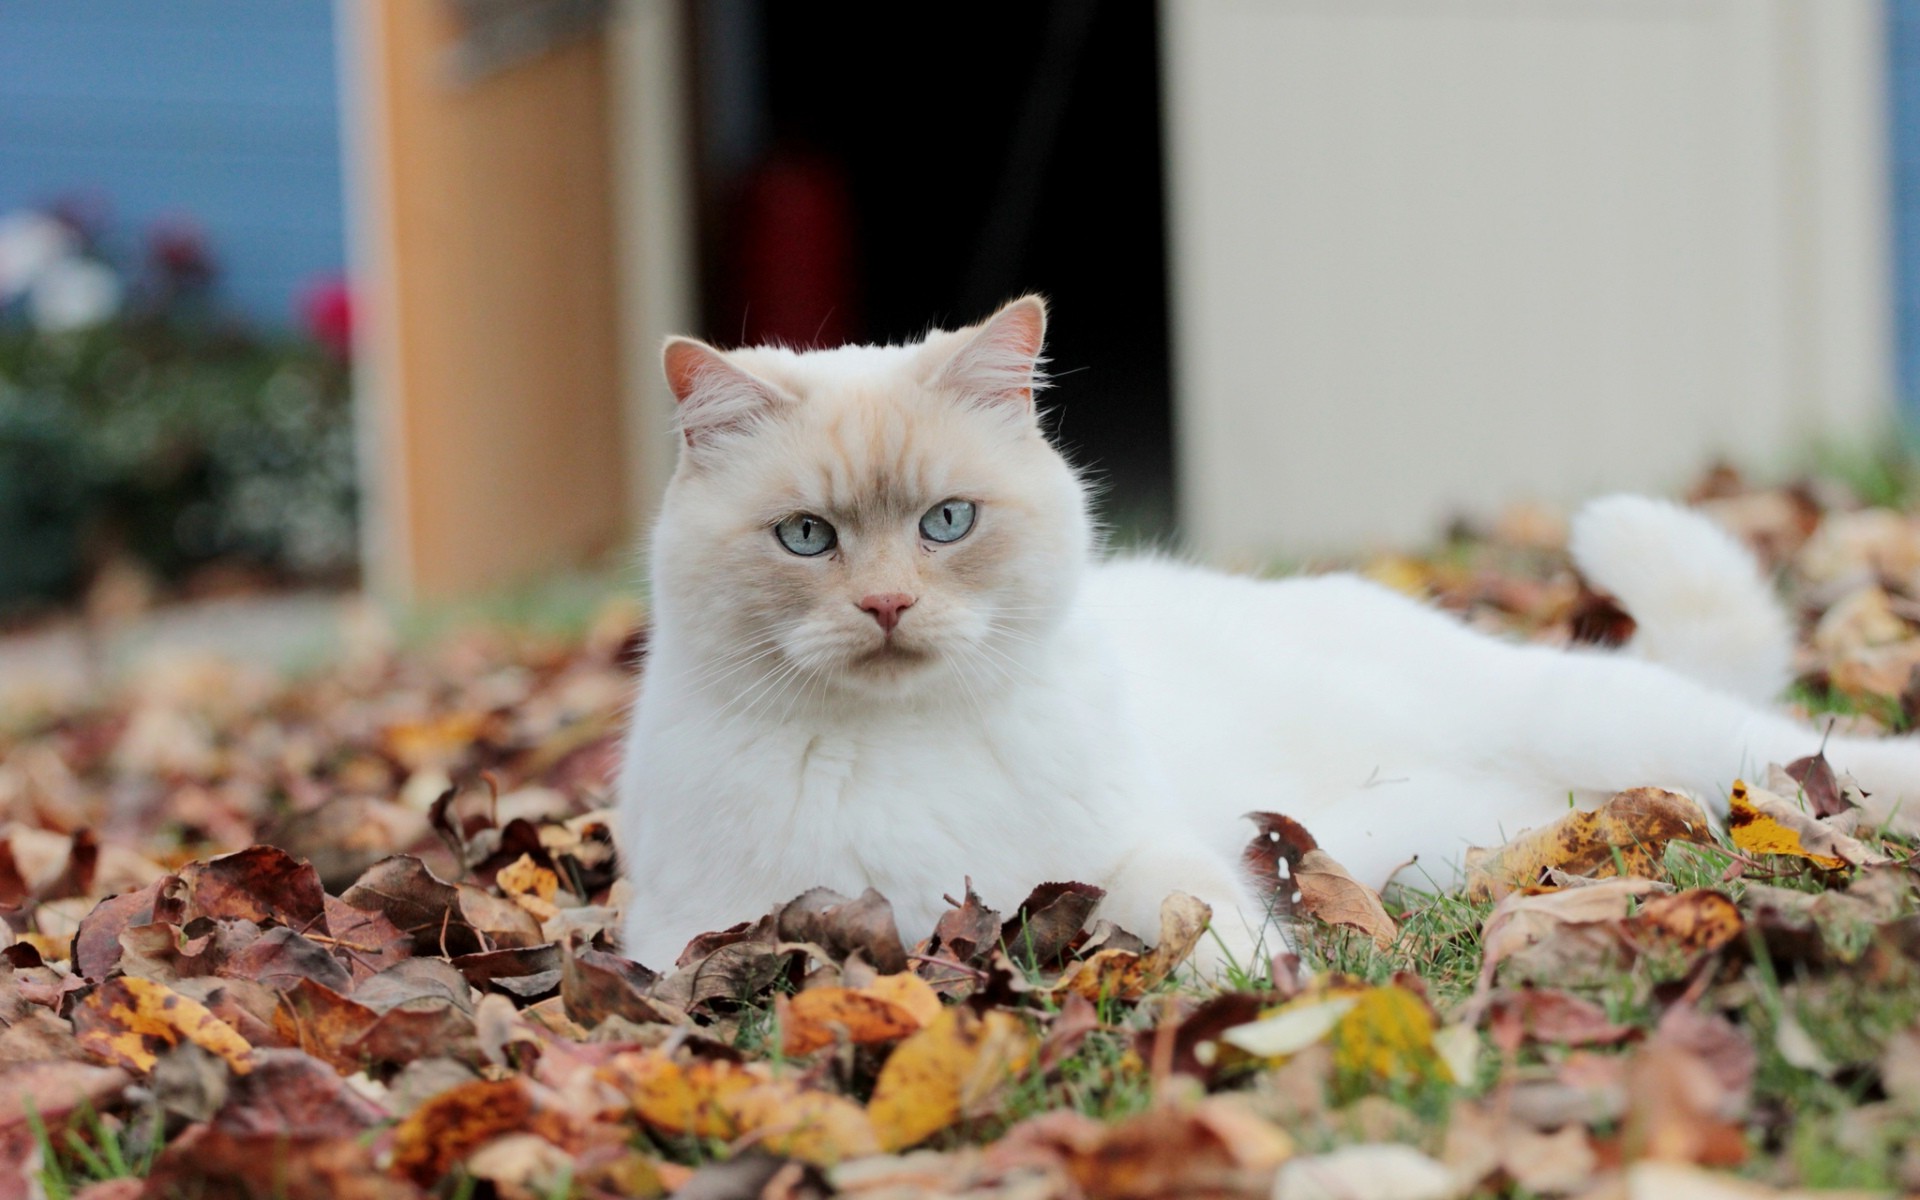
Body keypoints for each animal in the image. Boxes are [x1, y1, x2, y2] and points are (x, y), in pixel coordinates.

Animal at [618, 295, 1920, 967]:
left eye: (947, 522)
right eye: (806, 539)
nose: (887, 606)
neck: (903, 749)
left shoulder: (1136, 855)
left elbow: (1202, 933)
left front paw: (1255, 1010)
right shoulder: (701, 940)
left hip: (1618, 723)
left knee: (1812, 753)